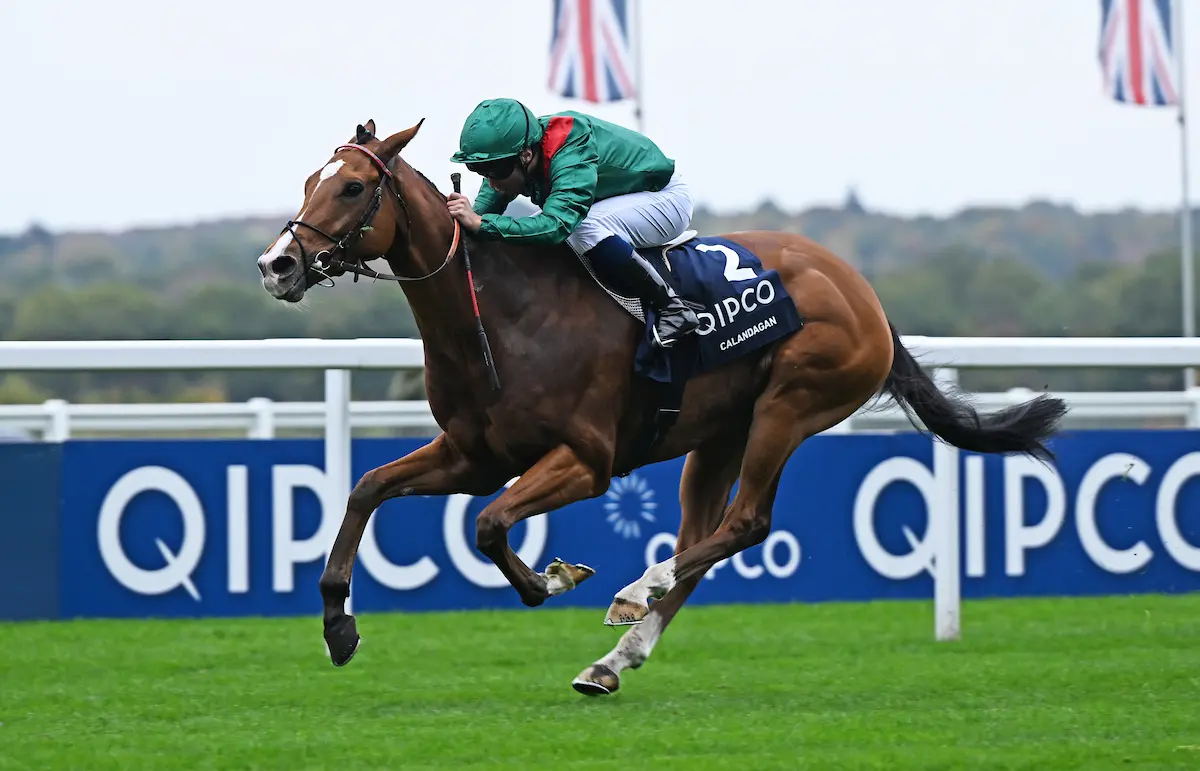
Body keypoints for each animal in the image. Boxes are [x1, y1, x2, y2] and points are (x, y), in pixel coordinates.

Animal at [255, 118, 1067, 696]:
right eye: (310, 179)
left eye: (353, 188)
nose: (277, 264)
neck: (502, 318)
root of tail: (866, 295)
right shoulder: (473, 455)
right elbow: (367, 488)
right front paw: (337, 625)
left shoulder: (586, 461)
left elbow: (488, 526)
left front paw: (555, 578)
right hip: (719, 435)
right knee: (702, 542)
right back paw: (614, 658)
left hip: (792, 404)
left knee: (745, 523)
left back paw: (632, 592)